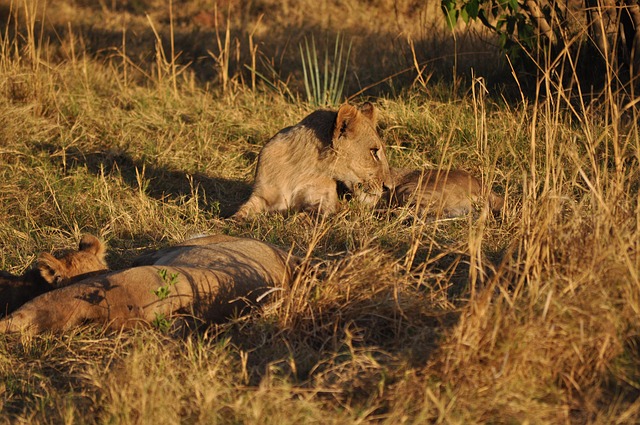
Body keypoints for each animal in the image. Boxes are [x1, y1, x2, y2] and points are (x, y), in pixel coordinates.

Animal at [233, 102, 392, 218]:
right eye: (374, 152)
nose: (389, 187)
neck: (303, 167)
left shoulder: (323, 199)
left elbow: (306, 216)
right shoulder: (261, 195)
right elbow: (242, 210)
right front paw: (233, 222)